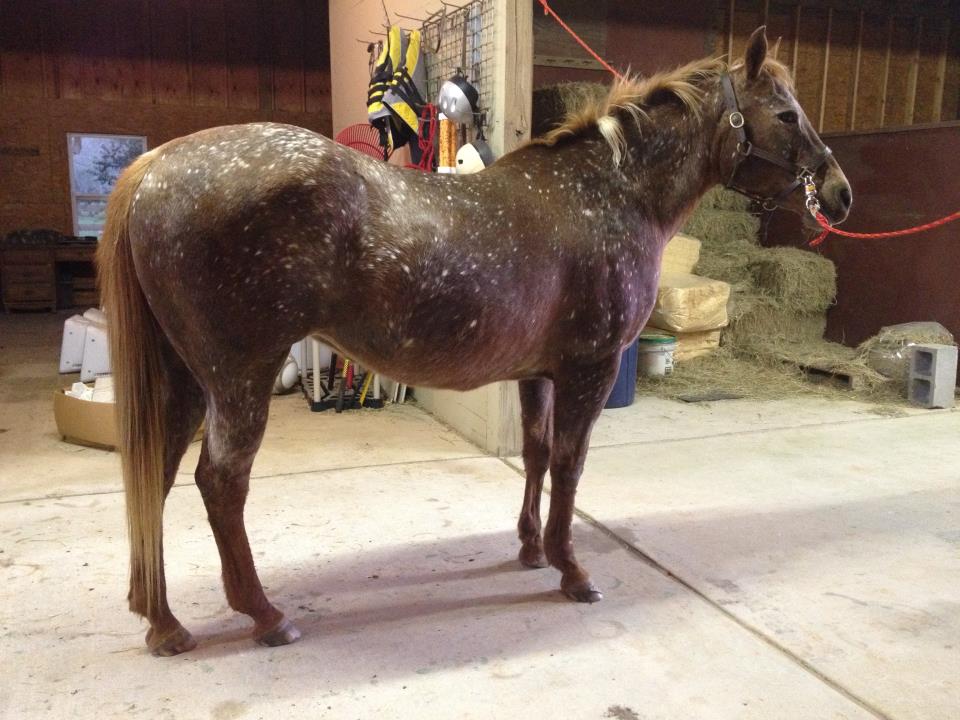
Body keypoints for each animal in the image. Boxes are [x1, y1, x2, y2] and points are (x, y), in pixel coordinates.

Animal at [98, 27, 851, 656]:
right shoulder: (591, 368)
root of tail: (156, 168)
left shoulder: (540, 372)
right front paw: (572, 571)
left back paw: (162, 621)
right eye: (786, 113)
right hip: (238, 377)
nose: (839, 192)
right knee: (220, 483)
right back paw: (264, 616)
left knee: (156, 472)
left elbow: (537, 453)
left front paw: (532, 550)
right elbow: (571, 464)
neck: (610, 193)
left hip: (186, 379)